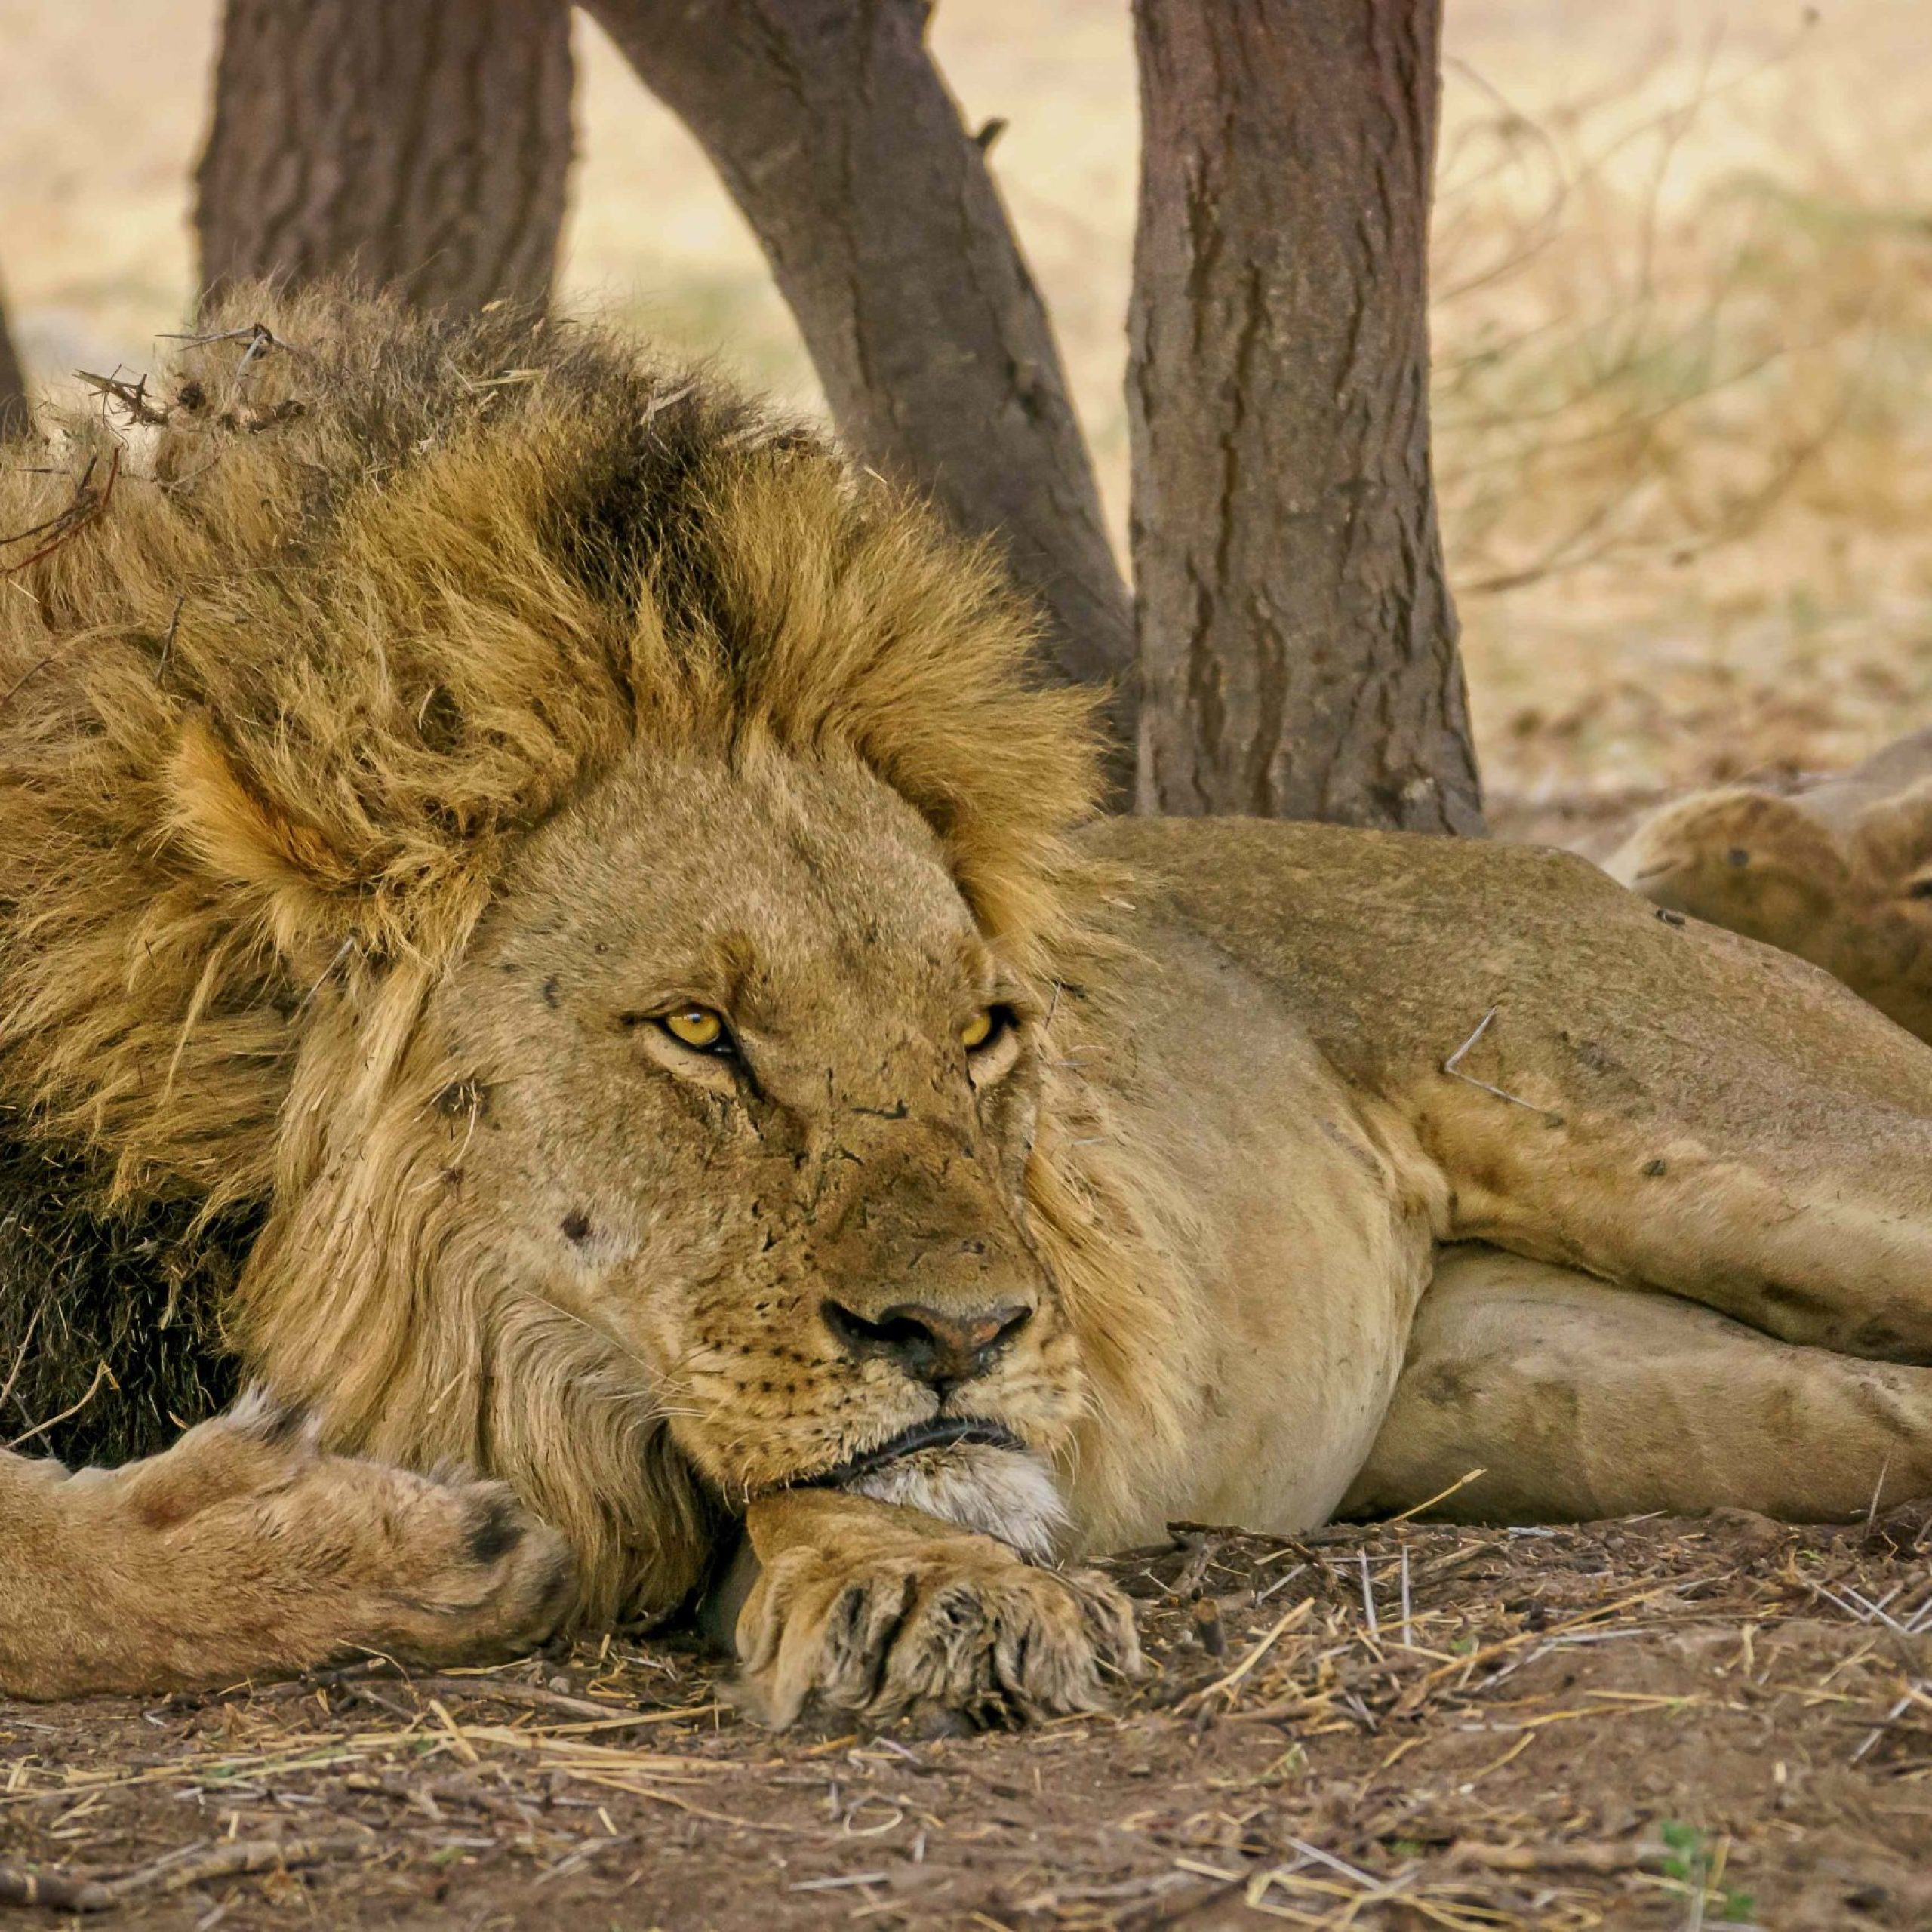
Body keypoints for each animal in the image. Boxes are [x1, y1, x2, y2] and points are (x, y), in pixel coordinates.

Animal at [1, 292, 1929, 1723]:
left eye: (983, 1030)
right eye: (696, 1032)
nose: (966, 1331)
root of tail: (1571, 861)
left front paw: (924, 1585)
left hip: (1754, 1148)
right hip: (1552, 1389)